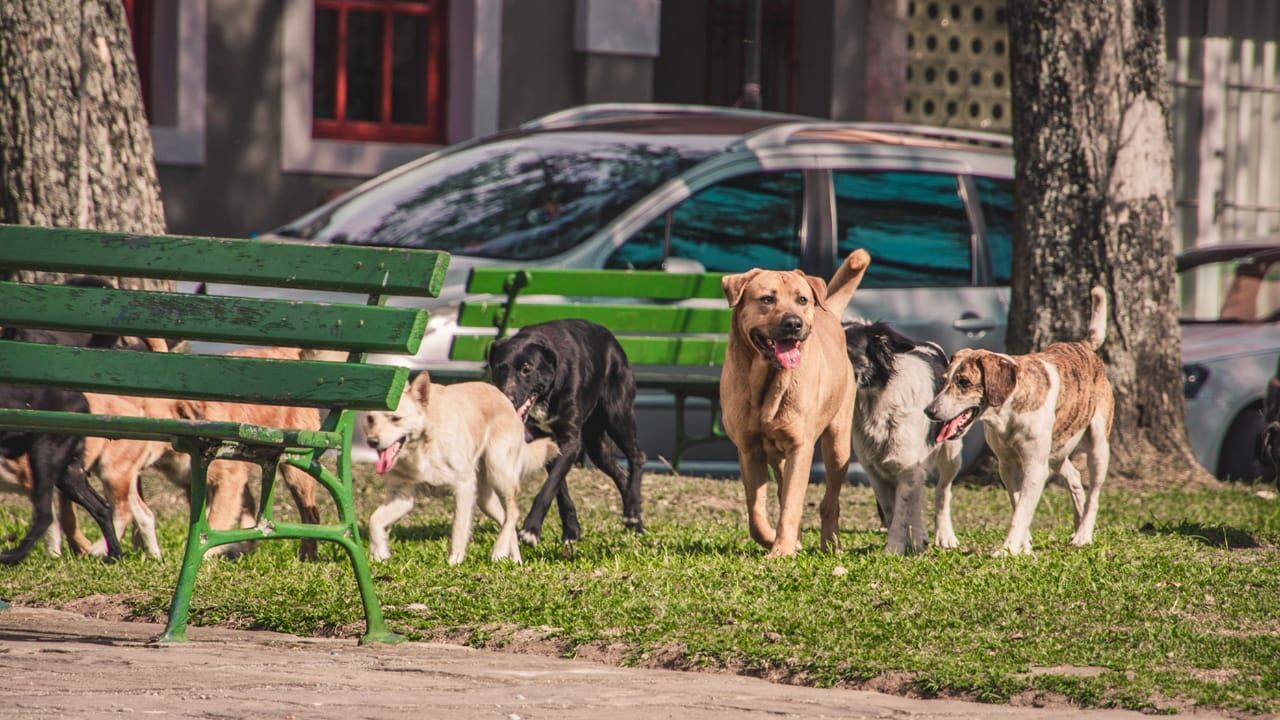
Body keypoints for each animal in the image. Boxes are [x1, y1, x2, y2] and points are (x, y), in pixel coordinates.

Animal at [363, 371, 558, 563]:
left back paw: (499, 551)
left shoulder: (463, 487)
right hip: (484, 498)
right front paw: (379, 553)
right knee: (505, 519)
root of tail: (503, 397)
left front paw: (454, 562)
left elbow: (458, 528)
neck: (423, 445)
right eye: (370, 419)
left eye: (396, 419)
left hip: (499, 472)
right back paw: (514, 560)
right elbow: (374, 520)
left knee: (513, 512)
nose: (372, 442)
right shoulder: (402, 496)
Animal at [488, 316, 650, 540]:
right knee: (619, 473)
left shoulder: (571, 442)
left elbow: (549, 488)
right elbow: (559, 489)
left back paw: (633, 511)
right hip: (596, 446)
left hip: (618, 416)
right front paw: (571, 530)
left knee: (637, 456)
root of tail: (613, 341)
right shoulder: (549, 443)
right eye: (499, 368)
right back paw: (634, 520)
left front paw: (531, 529)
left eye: (526, 370)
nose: (506, 399)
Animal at [849, 319, 962, 548]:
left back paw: (944, 536)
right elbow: (892, 510)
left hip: (951, 452)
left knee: (943, 492)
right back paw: (920, 538)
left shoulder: (907, 467)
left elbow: (901, 514)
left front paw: (893, 549)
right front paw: (905, 544)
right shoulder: (875, 471)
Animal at [926, 285, 1116, 556]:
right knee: (1074, 477)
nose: (929, 411)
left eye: (963, 382)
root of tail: (1084, 345)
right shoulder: (1007, 464)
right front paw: (1023, 545)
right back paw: (1076, 525)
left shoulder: (1035, 466)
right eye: (944, 381)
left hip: (1098, 444)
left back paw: (1084, 534)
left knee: (1095, 491)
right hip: (1056, 450)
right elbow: (1018, 504)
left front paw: (1007, 550)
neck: (1007, 413)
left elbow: (1022, 511)